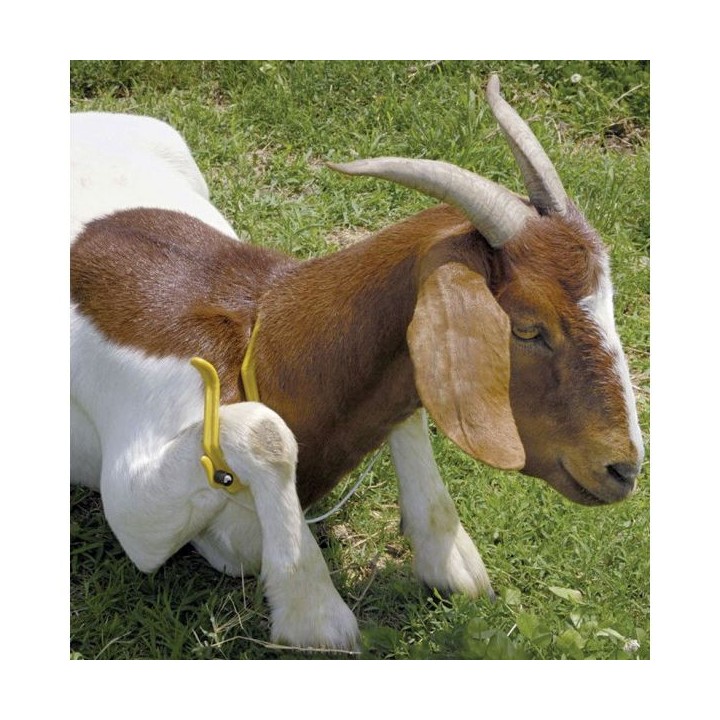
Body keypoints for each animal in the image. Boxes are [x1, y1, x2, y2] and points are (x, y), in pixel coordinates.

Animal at [70, 74, 644, 652]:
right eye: (527, 328)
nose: (623, 469)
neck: (259, 344)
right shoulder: (133, 506)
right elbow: (264, 432)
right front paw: (314, 615)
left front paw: (450, 560)